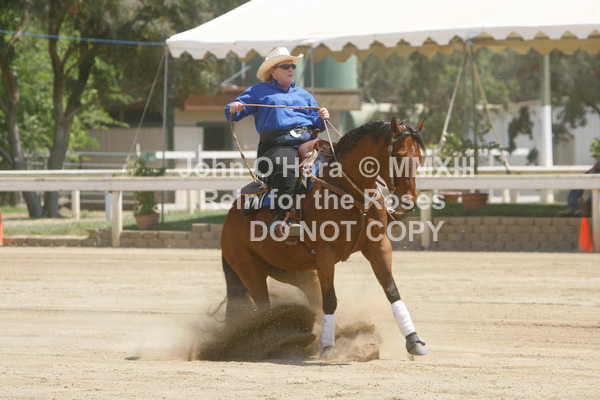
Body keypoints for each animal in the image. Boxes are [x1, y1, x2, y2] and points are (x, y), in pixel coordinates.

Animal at [220, 117, 427, 357]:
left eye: (420, 158)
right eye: (399, 156)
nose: (409, 201)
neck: (349, 188)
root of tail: (229, 219)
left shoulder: (378, 245)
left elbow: (392, 291)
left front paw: (413, 340)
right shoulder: (325, 253)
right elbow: (330, 300)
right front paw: (328, 347)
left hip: (299, 272)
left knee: (311, 300)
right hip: (250, 271)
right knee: (265, 310)